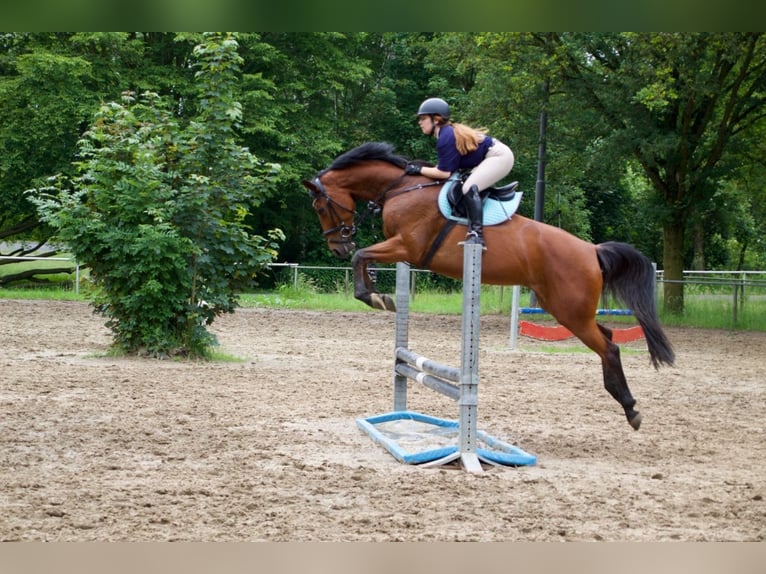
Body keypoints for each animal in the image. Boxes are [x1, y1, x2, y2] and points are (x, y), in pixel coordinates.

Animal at [304, 143, 676, 432]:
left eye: (320, 206)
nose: (338, 247)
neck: (402, 188)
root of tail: (592, 250)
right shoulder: (401, 249)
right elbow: (364, 258)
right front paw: (377, 292)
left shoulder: (407, 247)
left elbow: (363, 257)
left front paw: (374, 296)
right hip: (563, 307)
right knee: (608, 338)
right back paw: (622, 400)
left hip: (570, 311)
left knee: (609, 348)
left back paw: (631, 409)